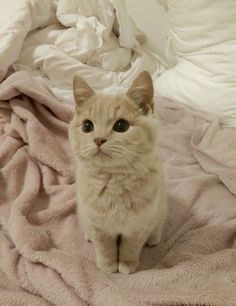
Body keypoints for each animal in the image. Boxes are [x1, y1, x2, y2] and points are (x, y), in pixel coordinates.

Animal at [68, 71, 168, 274]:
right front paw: (107, 265)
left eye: (121, 126)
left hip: (161, 207)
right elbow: (105, 247)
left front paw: (127, 264)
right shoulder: (99, 227)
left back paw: (154, 238)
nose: (98, 139)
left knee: (158, 224)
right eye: (87, 126)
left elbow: (130, 247)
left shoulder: (138, 227)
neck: (113, 181)